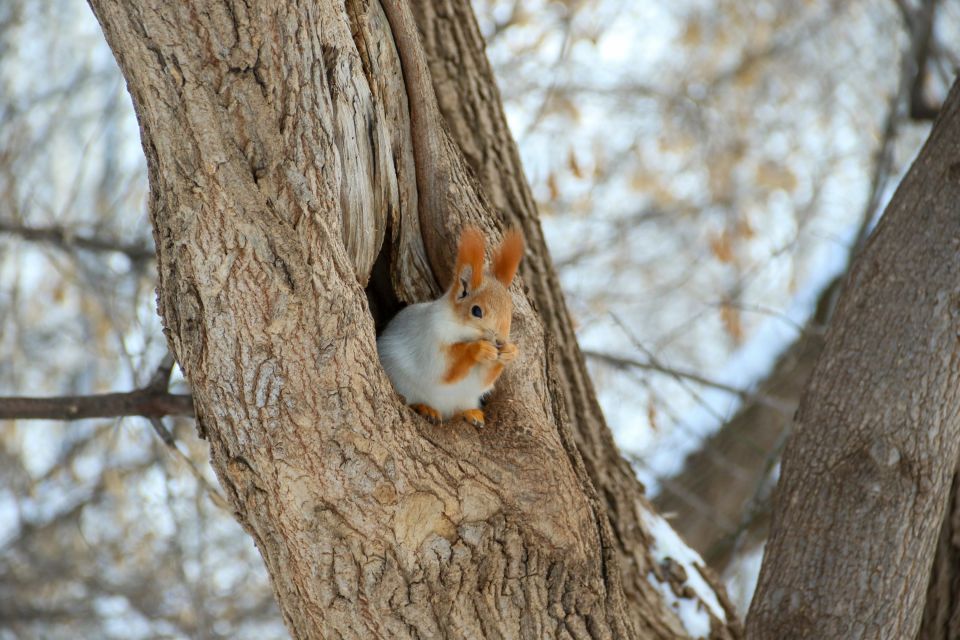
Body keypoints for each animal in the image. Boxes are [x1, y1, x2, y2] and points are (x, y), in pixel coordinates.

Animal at [376, 228, 524, 428]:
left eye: (510, 309)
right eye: (476, 311)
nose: (500, 341)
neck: (460, 328)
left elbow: (484, 380)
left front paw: (510, 352)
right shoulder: (430, 337)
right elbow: (443, 367)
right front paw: (478, 349)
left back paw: (471, 413)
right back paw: (426, 408)